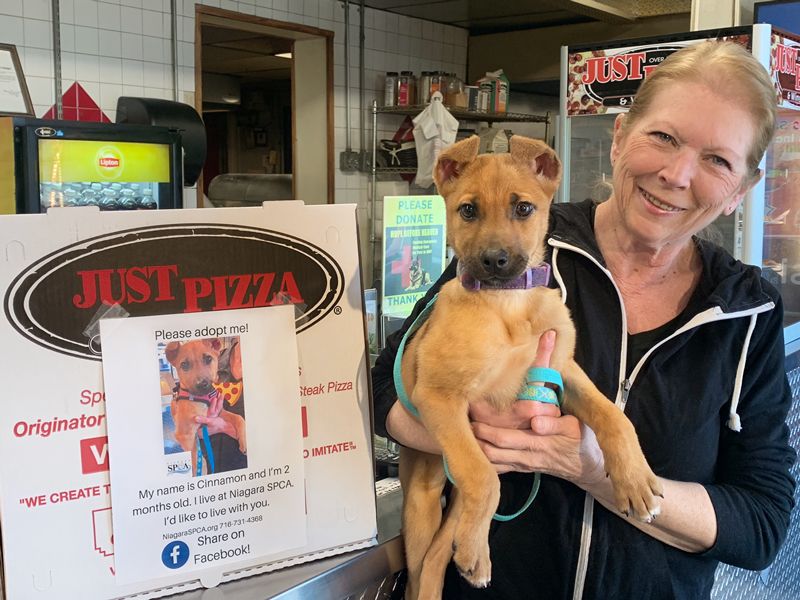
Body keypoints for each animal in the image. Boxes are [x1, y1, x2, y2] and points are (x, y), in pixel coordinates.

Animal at [166, 340, 247, 476]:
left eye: (208, 358)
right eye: (184, 365)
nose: (202, 384)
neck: (201, 398)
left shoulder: (219, 412)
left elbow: (238, 418)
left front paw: (244, 441)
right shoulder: (185, 435)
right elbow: (194, 460)